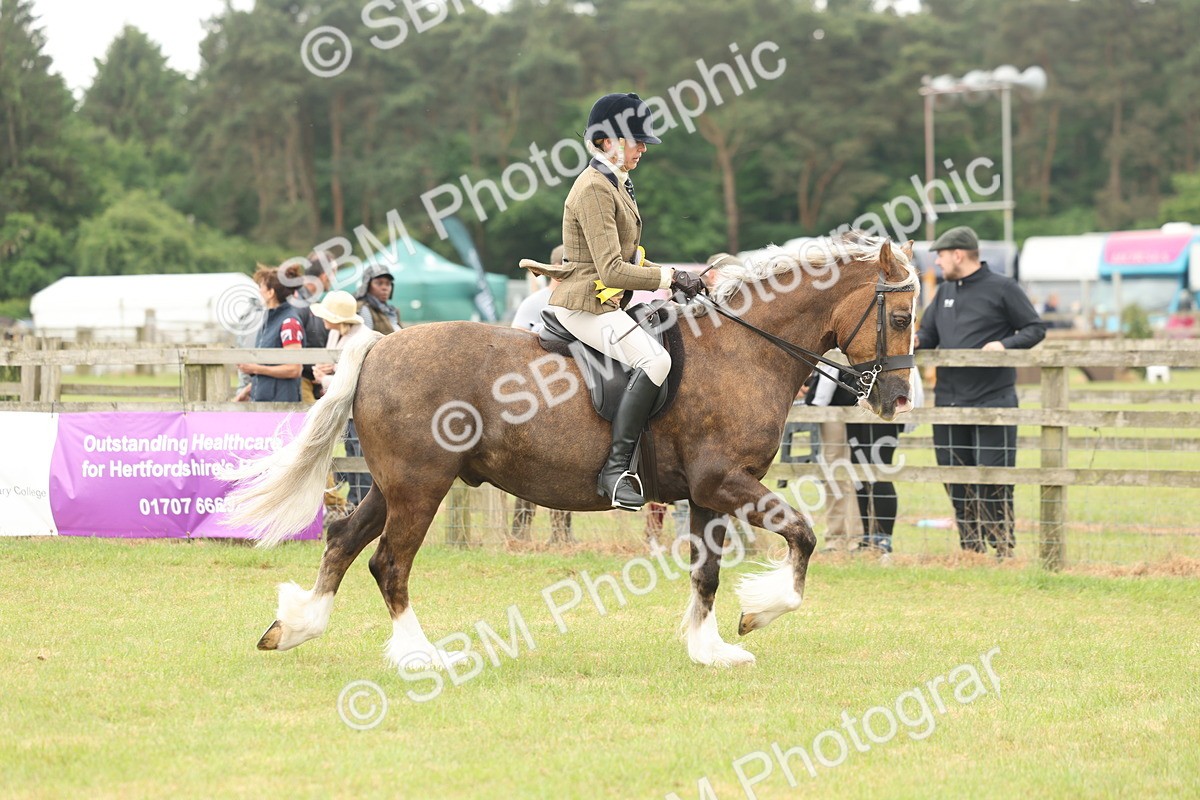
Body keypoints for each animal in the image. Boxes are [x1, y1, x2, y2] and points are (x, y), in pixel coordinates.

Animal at [224, 231, 919, 669]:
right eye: (902, 318)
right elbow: (802, 536)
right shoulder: (725, 483)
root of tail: (380, 345)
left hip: (397, 485)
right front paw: (760, 615)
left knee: (344, 540)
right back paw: (420, 656)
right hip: (420, 486)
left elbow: (707, 573)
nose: (897, 401)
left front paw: (710, 649)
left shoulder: (706, 495)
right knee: (389, 563)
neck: (744, 349)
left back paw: (295, 627)